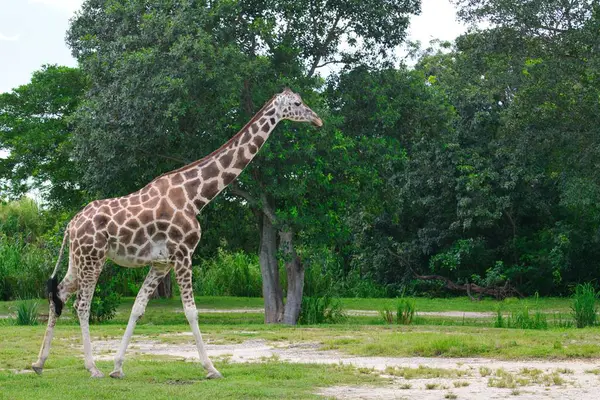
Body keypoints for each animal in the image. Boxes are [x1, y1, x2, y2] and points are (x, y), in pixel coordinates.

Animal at [31, 87, 324, 378]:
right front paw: (211, 368)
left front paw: (118, 367)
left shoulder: (161, 263)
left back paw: (39, 363)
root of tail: (71, 224)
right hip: (94, 258)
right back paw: (91, 367)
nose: (318, 120)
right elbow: (191, 311)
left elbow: (137, 308)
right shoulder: (184, 254)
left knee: (60, 294)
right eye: (298, 103)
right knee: (82, 305)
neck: (195, 196)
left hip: (78, 259)